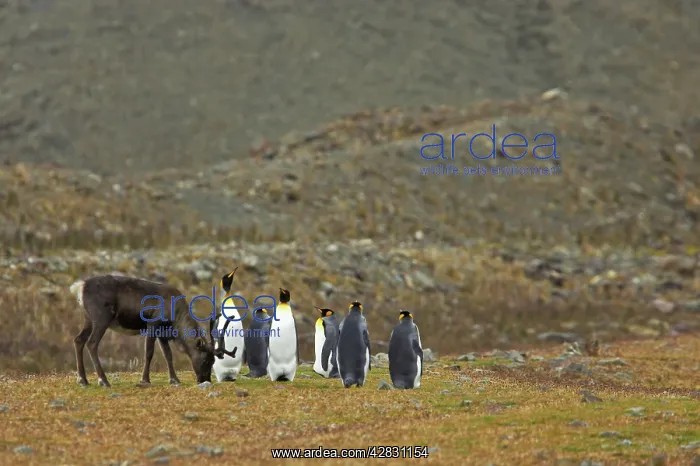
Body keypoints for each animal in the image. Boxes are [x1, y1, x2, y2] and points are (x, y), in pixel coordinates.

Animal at [68, 272, 238, 388]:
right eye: (206, 359)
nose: (205, 380)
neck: (175, 318)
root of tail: (80, 287)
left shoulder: (162, 331)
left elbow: (168, 354)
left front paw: (174, 379)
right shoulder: (153, 324)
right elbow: (149, 352)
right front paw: (145, 379)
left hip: (88, 319)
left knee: (78, 340)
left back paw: (83, 380)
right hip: (101, 318)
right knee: (92, 343)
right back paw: (103, 380)